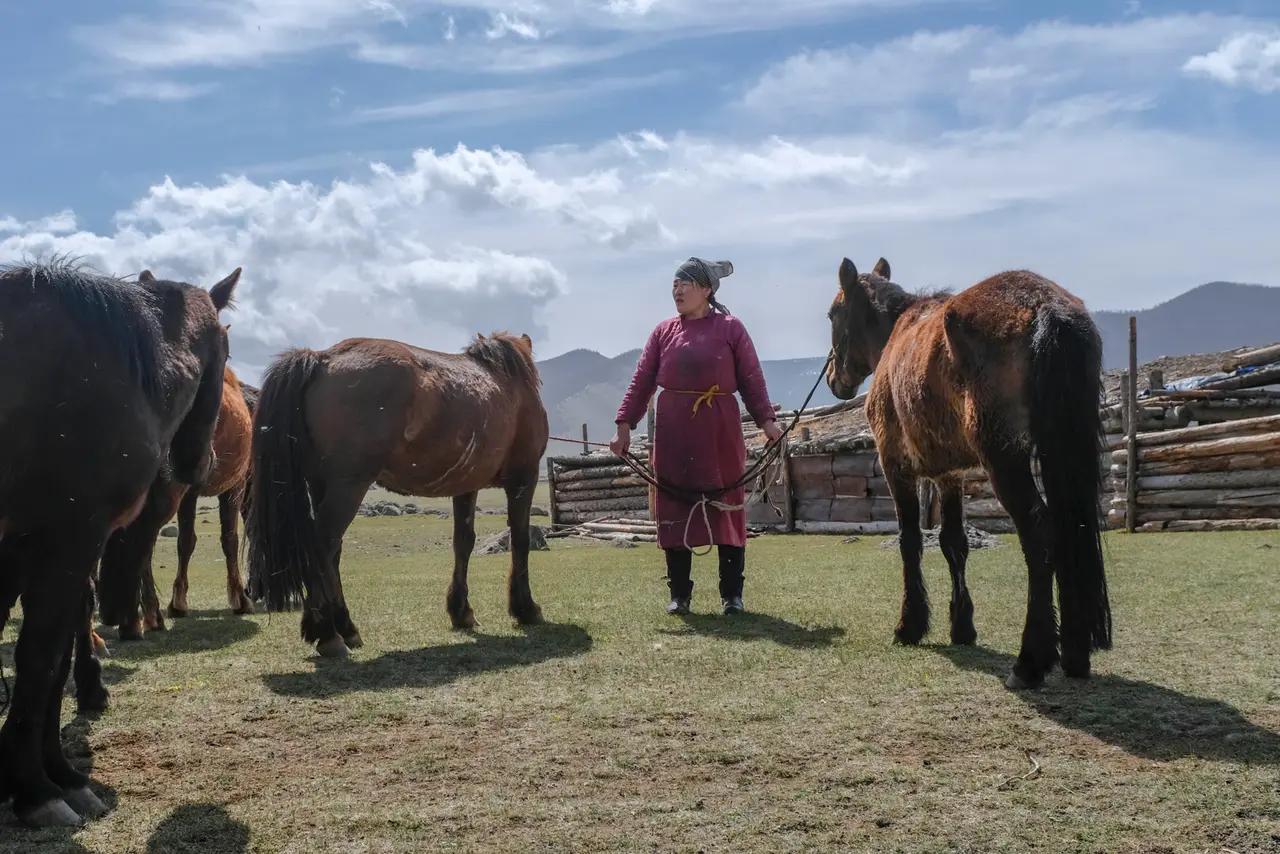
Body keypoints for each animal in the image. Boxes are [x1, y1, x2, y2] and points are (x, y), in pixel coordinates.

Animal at [0, 262, 235, 829]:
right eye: (228, 350)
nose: (202, 462)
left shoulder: (31, 548)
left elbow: (54, 658)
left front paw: (50, 772)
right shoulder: (69, 539)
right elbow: (41, 657)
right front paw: (36, 788)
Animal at [96, 363, 254, 637]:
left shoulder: (191, 492)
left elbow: (186, 541)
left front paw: (178, 602)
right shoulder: (234, 486)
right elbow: (229, 539)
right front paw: (239, 598)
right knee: (142, 540)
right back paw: (143, 617)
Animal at [247, 335, 547, 660]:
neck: (510, 384)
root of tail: (322, 358)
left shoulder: (466, 485)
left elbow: (463, 543)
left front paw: (461, 611)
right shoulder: (524, 478)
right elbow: (520, 540)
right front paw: (526, 608)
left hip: (321, 485)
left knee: (332, 554)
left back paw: (345, 627)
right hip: (347, 486)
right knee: (323, 546)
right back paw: (328, 634)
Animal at [829, 258, 1111, 686]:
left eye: (832, 313)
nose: (833, 380)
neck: (897, 336)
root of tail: (1046, 307)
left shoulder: (897, 468)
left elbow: (911, 541)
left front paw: (910, 625)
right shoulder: (950, 475)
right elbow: (953, 543)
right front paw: (961, 625)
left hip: (1004, 459)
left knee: (1039, 533)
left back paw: (1030, 660)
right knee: (1070, 528)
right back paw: (1075, 653)